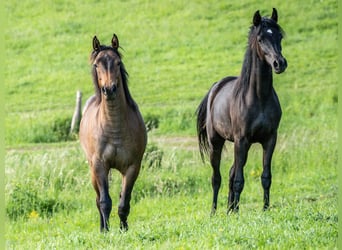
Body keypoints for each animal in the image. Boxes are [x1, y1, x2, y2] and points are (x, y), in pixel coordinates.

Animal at [79, 33, 148, 232]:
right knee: (98, 199)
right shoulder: (99, 165)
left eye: (118, 62)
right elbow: (104, 201)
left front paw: (124, 229)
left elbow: (124, 202)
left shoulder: (133, 167)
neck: (114, 128)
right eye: (96, 65)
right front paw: (106, 231)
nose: (109, 89)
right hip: (92, 170)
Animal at [196, 7, 288, 215]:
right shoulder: (242, 140)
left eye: (279, 36)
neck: (259, 97)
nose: (279, 63)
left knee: (231, 172)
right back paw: (214, 212)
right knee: (217, 178)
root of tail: (216, 87)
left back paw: (231, 209)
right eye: (260, 39)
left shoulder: (270, 139)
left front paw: (265, 209)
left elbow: (265, 177)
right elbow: (238, 180)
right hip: (217, 143)